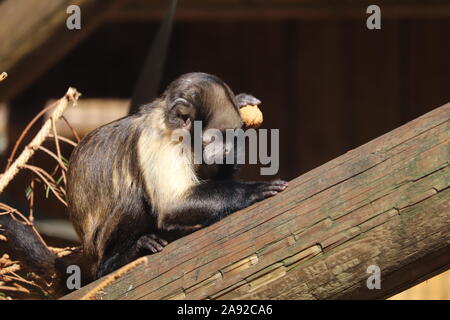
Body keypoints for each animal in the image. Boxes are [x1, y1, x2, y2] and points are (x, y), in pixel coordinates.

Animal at [0, 71, 286, 292]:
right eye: (219, 136)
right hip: (101, 245)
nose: (226, 149)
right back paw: (117, 260)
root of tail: (89, 253)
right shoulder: (162, 140)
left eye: (232, 136)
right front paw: (252, 191)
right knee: (136, 198)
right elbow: (171, 206)